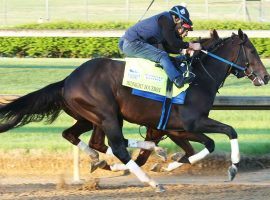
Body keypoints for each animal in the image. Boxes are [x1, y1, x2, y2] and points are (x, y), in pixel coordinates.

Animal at [1, 28, 268, 191]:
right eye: (252, 51)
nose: (265, 76)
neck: (199, 78)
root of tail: (68, 80)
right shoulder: (191, 123)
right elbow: (229, 131)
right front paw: (233, 167)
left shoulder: (177, 129)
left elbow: (201, 147)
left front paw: (168, 163)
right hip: (107, 114)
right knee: (118, 145)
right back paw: (151, 182)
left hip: (92, 117)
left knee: (79, 137)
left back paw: (106, 159)